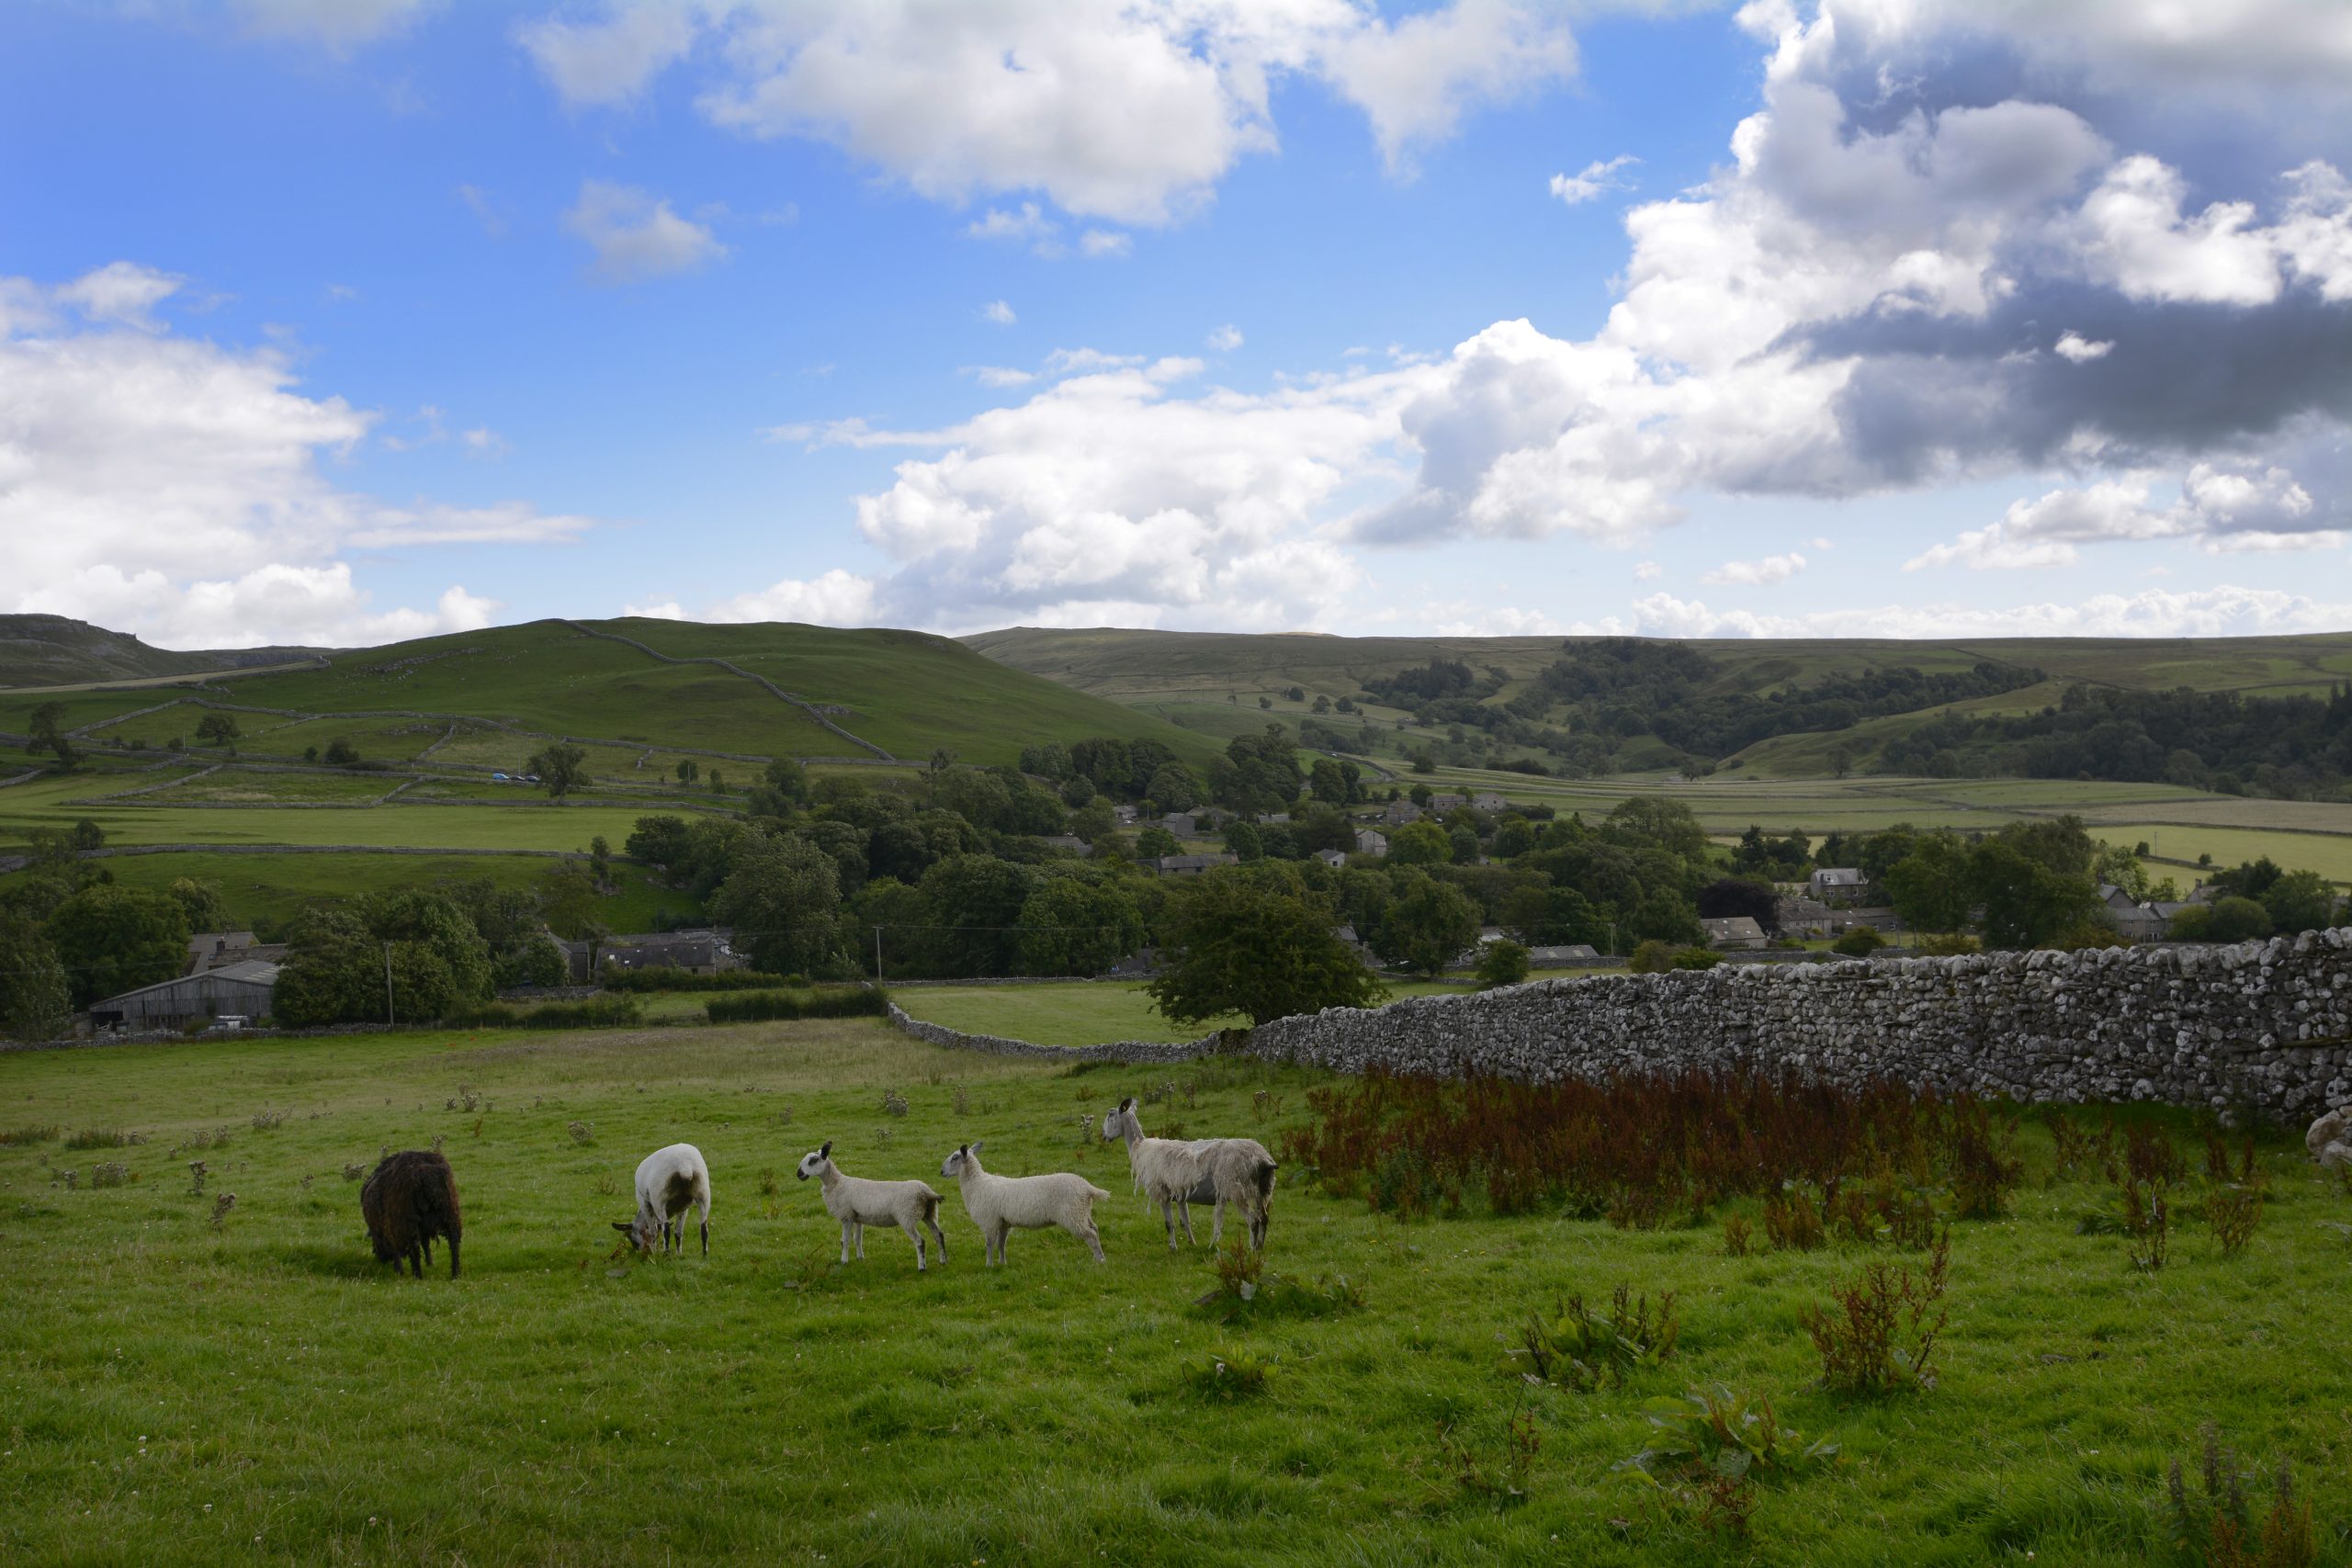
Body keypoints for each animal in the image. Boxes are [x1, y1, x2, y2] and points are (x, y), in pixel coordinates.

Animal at [359, 1146, 460, 1279]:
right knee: (454, 1244)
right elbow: (426, 1243)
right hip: (452, 1214)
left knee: (414, 1249)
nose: (381, 1260)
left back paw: (418, 1276)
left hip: (408, 1223)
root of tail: (428, 1177)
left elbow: (396, 1251)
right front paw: (430, 1263)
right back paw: (456, 1274)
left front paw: (399, 1271)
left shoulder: (391, 1229)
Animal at [611, 1133, 710, 1259]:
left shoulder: (644, 1202)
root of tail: (684, 1166)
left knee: (666, 1229)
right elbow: (678, 1233)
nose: (643, 1252)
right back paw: (704, 1255)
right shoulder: (683, 1208)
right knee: (704, 1228)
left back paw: (666, 1253)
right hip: (703, 1195)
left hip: (659, 1200)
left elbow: (652, 1231)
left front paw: (654, 1253)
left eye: (633, 1240)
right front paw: (679, 1254)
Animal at [799, 1142, 945, 1279]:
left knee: (920, 1241)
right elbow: (857, 1239)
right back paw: (943, 1261)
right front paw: (860, 1258)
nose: (799, 1174)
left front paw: (844, 1262)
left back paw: (922, 1267)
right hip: (930, 1213)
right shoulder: (857, 1217)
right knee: (939, 1235)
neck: (836, 1183)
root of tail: (928, 1193)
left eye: (813, 1160)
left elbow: (845, 1240)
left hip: (907, 1217)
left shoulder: (846, 1216)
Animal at [935, 1142, 1110, 1259]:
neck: (977, 1184)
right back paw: (1099, 1255)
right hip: (1082, 1212)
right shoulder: (1003, 1222)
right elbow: (1001, 1243)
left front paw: (989, 1265)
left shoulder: (989, 1221)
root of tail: (1086, 1186)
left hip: (1072, 1215)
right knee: (1095, 1228)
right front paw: (1002, 1263)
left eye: (955, 1157)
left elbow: (989, 1244)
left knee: (1090, 1235)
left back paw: (1100, 1260)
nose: (942, 1172)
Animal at [1095, 1100, 1279, 1259]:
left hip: (1236, 1188)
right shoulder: (1180, 1196)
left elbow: (1169, 1224)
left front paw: (1173, 1248)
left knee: (1253, 1220)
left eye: (1110, 1115)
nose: (1104, 1136)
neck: (1140, 1147)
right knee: (1264, 1218)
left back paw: (1253, 1249)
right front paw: (1192, 1243)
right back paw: (1260, 1247)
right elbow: (1186, 1222)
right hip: (1263, 1189)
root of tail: (1262, 1159)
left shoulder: (1163, 1193)